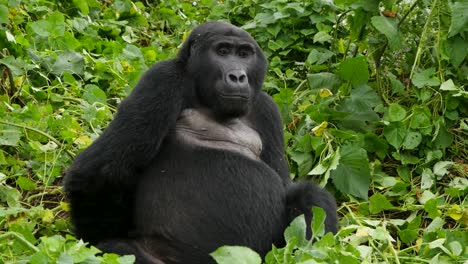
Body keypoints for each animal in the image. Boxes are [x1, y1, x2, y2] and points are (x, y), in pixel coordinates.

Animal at [65, 21, 336, 262]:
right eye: (223, 51)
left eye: (244, 54)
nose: (238, 76)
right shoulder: (162, 78)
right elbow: (100, 171)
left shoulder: (267, 108)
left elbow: (286, 185)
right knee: (119, 250)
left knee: (308, 195)